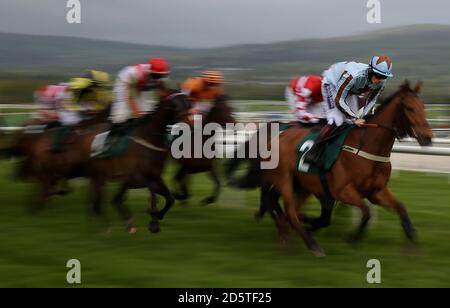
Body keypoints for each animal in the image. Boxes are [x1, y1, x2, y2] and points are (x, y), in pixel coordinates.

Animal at [236, 81, 432, 255]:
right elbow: (366, 212)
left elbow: (401, 208)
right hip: (285, 179)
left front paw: (412, 237)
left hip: (302, 185)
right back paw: (312, 244)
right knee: (288, 210)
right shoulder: (342, 191)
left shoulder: (376, 191)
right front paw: (352, 238)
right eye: (409, 108)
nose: (428, 137)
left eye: (423, 107)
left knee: (285, 209)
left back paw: (286, 234)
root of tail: (276, 135)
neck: (366, 147)